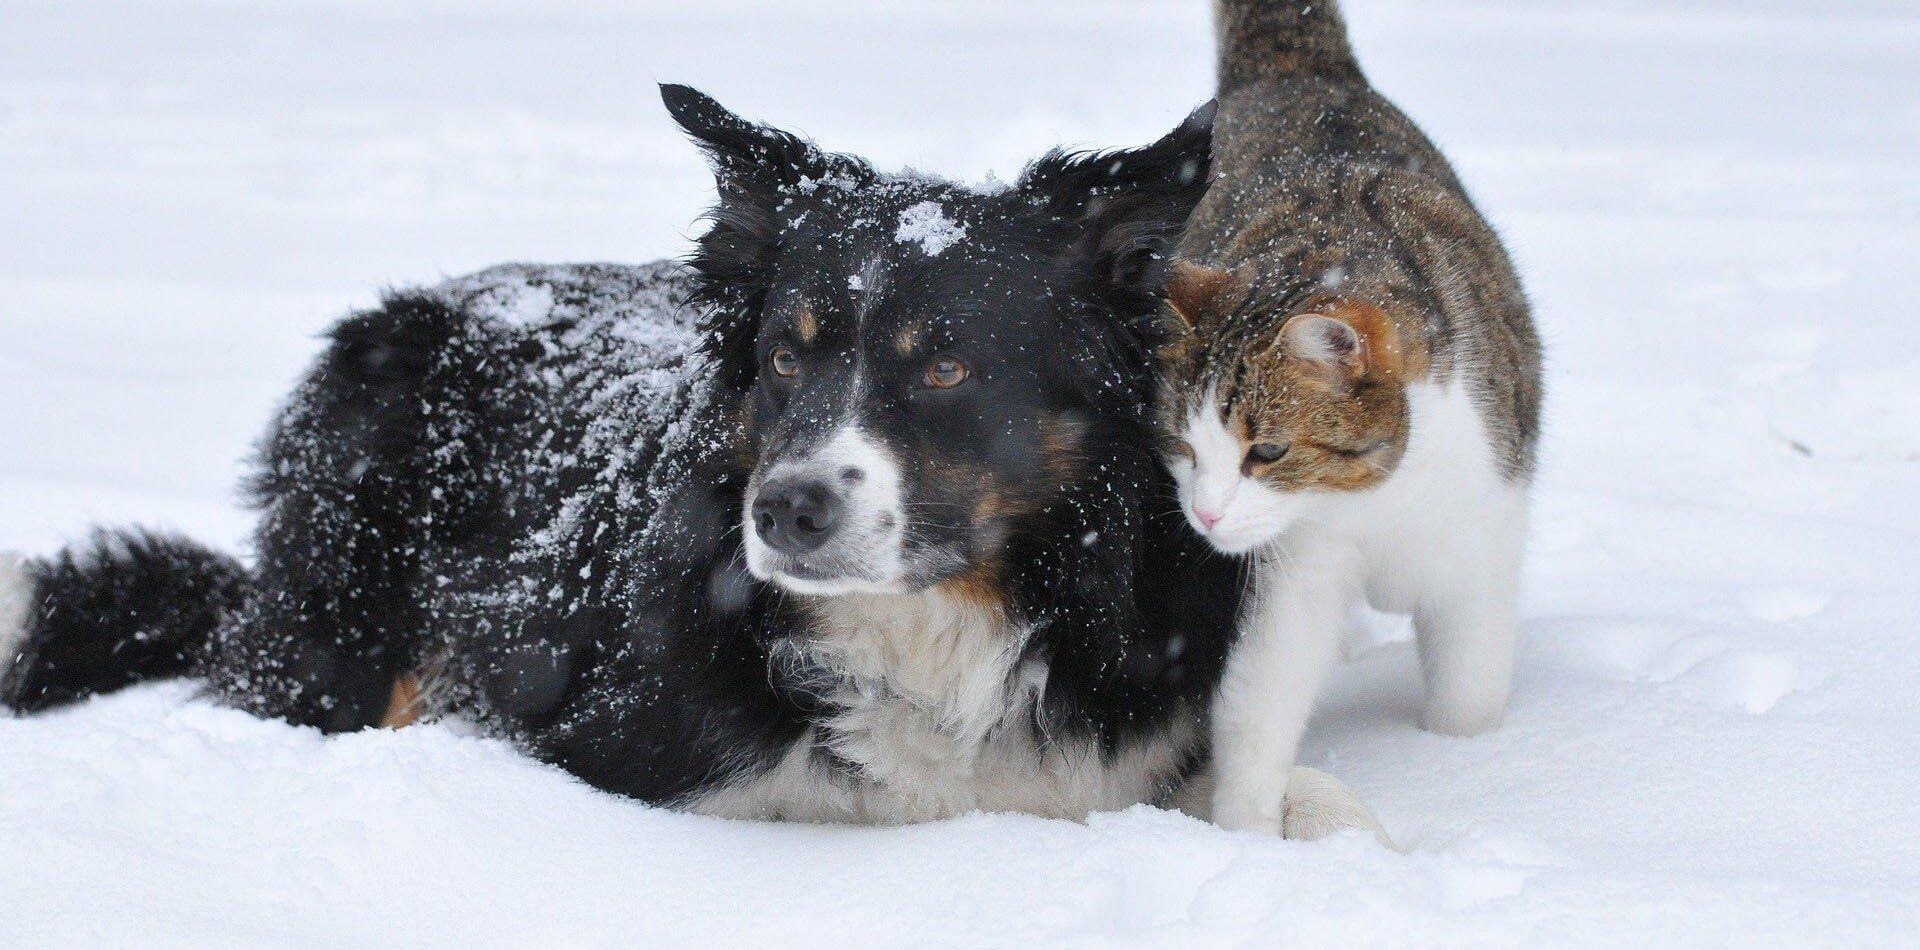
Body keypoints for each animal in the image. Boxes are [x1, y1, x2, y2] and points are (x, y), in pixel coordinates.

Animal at [1152, 0, 1543, 836]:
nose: (1204, 516)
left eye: (1266, 451)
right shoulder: (1293, 568)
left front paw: (1471, 765)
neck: (1380, 499)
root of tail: (1298, 71)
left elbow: (1470, 691)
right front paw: (1246, 832)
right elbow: (1259, 700)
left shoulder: (1482, 540)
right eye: (1182, 446)